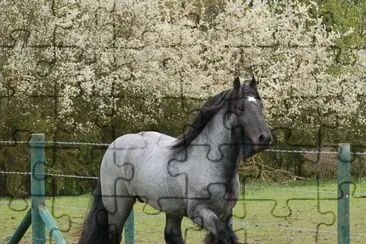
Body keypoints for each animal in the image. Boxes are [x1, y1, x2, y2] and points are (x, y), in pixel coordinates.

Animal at [79, 77, 272, 243]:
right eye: (240, 108)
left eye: (260, 106)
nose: (265, 138)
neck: (210, 164)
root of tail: (114, 144)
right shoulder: (200, 212)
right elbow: (226, 237)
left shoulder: (225, 214)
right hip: (118, 207)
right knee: (114, 236)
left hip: (172, 208)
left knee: (171, 235)